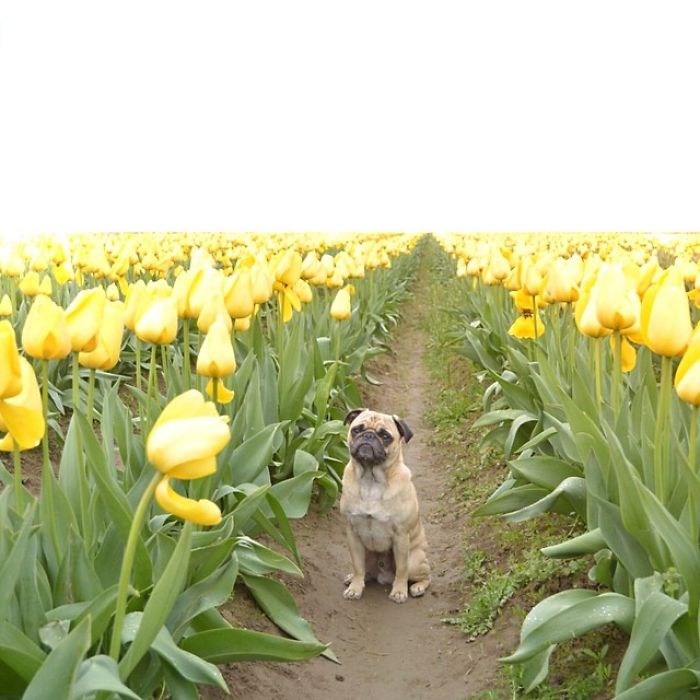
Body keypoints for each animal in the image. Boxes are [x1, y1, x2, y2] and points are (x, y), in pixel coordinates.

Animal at [338, 408, 430, 604]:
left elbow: (401, 570)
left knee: (424, 576)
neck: (370, 479)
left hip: (414, 559)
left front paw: (399, 592)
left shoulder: (401, 536)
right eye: (357, 429)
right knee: (364, 571)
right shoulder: (352, 533)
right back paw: (354, 579)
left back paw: (417, 587)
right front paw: (355, 588)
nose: (368, 436)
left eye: (385, 436)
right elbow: (357, 566)